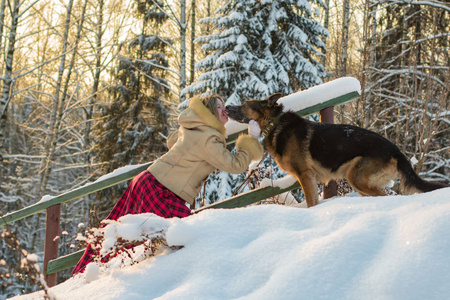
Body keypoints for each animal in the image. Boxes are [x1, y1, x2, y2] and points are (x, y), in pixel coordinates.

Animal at [225, 93, 446, 206]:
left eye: (244, 104)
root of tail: (396, 150)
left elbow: (311, 203)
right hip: (361, 183)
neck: (274, 123)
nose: (226, 107)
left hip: (356, 177)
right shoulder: (310, 178)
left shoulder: (305, 175)